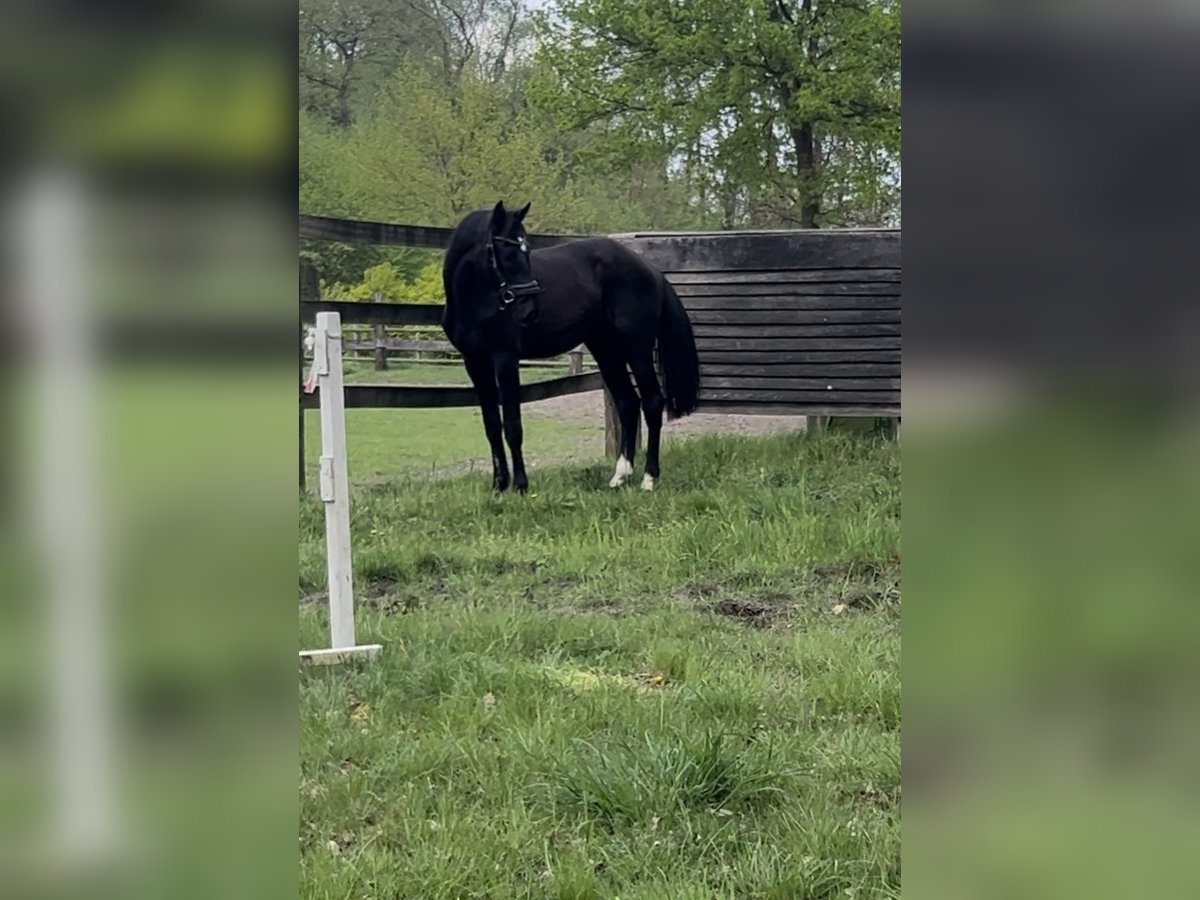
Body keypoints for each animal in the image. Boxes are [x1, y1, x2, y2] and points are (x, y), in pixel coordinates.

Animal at [446, 202, 700, 494]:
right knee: (628, 403)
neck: (476, 301)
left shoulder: (505, 359)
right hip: (606, 350)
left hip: (637, 349)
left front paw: (520, 486)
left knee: (652, 402)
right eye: (506, 251)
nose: (530, 311)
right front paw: (498, 486)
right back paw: (620, 475)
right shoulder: (475, 363)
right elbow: (492, 426)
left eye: (526, 250)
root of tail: (650, 269)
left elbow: (512, 425)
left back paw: (649, 478)